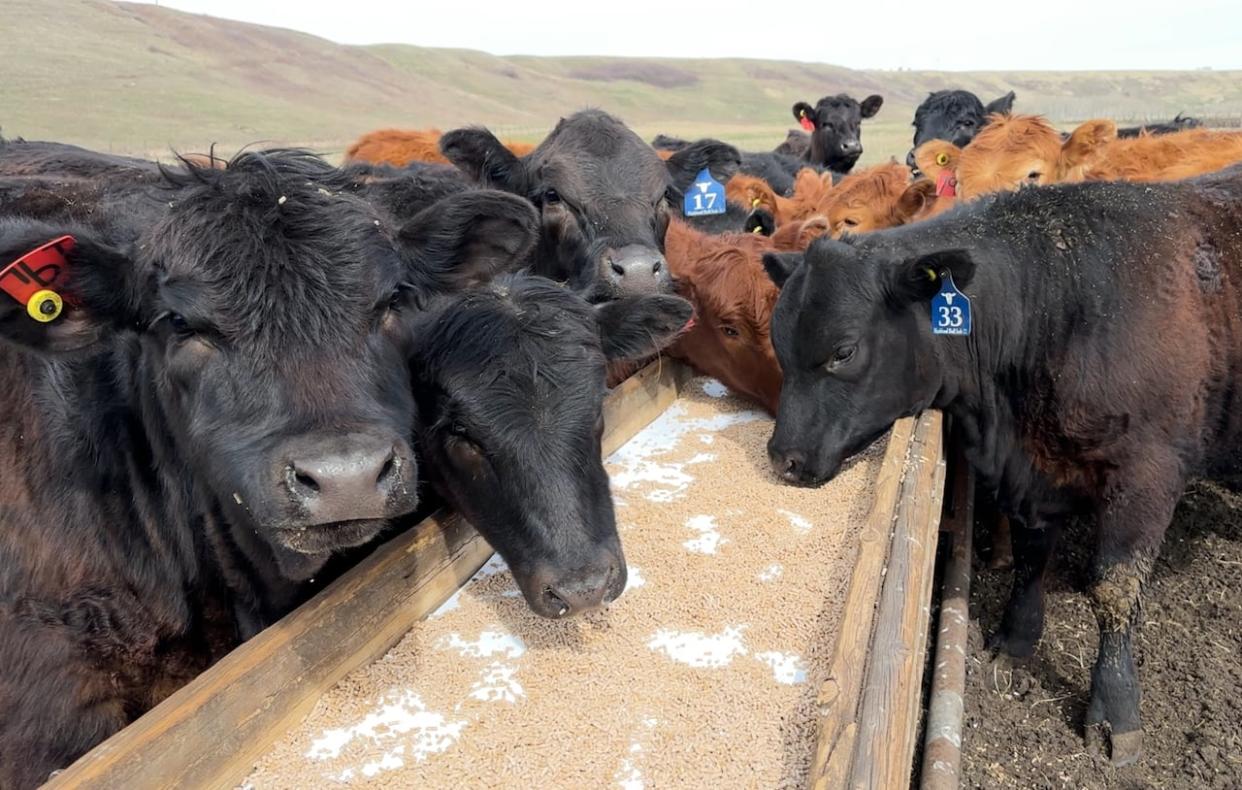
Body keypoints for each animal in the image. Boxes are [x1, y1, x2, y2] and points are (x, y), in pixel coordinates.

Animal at [760, 171, 1242, 765]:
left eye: (843, 351)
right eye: (778, 345)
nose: (783, 457)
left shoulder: (1147, 472)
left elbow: (1114, 589)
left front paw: (1115, 710)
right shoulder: (1035, 473)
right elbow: (1032, 553)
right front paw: (1016, 637)